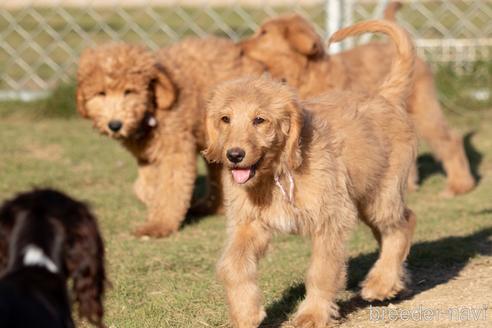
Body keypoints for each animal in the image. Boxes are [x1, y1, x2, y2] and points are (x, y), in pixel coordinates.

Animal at [76, 39, 264, 237]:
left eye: (129, 91)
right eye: (101, 93)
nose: (115, 125)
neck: (153, 106)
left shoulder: (175, 149)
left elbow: (171, 185)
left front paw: (159, 224)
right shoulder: (147, 156)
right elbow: (145, 187)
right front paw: (153, 202)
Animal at [206, 21, 418, 328]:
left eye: (260, 120)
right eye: (225, 119)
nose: (234, 155)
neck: (278, 172)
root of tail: (383, 95)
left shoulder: (332, 219)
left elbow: (322, 271)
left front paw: (312, 314)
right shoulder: (249, 224)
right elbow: (233, 265)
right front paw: (246, 312)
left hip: (381, 195)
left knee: (403, 224)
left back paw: (380, 283)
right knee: (392, 232)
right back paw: (395, 281)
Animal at [240, 10, 474, 197]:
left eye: (264, 33)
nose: (239, 48)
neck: (308, 76)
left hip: (424, 109)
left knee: (450, 140)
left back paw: (459, 185)